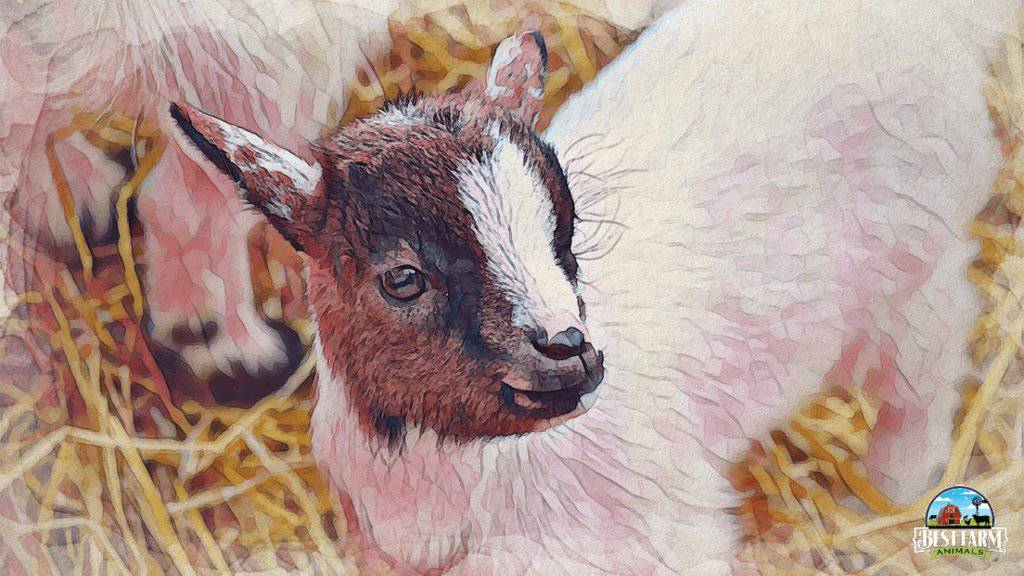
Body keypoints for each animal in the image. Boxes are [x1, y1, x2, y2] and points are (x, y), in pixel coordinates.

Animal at [170, 0, 1022, 573]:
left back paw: (890, 490)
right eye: (402, 278)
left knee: (930, 360)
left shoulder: (669, 535)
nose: (569, 353)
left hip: (914, 266)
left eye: (567, 223)